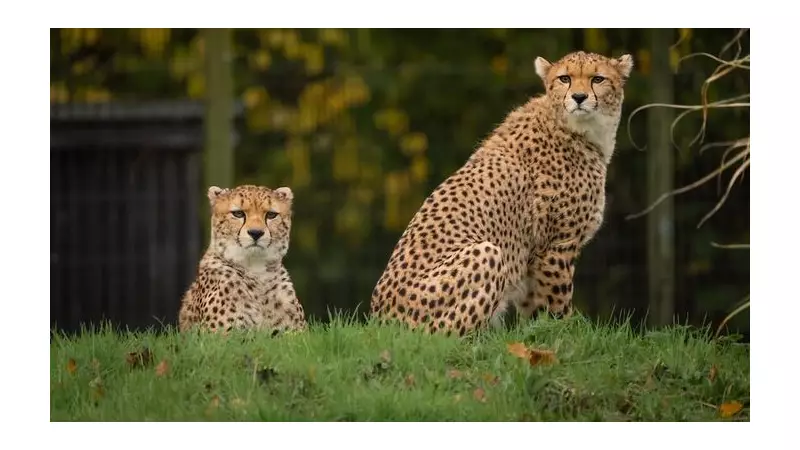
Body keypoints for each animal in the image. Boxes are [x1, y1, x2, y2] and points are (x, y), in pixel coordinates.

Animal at [178, 184, 307, 334]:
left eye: (271, 215)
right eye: (238, 214)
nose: (256, 233)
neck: (256, 270)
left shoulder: (296, 334)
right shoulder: (222, 335)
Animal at [370, 51, 634, 336]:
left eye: (598, 79)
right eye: (565, 78)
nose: (579, 97)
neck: (578, 129)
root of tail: (380, 321)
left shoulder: (533, 257)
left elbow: (533, 311)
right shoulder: (556, 246)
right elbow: (558, 306)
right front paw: (567, 334)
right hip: (486, 253)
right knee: (445, 337)